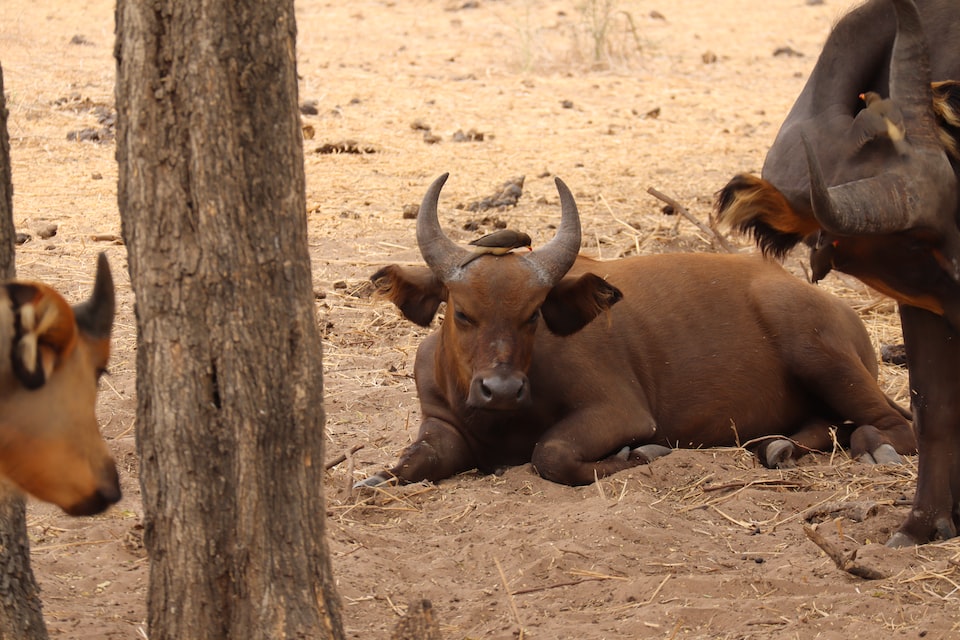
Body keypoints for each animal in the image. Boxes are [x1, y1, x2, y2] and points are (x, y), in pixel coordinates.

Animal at [354, 174, 916, 484]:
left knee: (894, 424)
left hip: (817, 352)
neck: (500, 420)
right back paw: (776, 447)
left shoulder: (620, 412)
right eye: (462, 312)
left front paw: (640, 455)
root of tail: (840, 310)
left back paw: (873, 447)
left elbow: (549, 454)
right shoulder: (442, 427)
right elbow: (411, 463)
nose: (502, 388)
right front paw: (377, 477)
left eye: (532, 313)